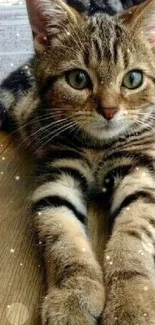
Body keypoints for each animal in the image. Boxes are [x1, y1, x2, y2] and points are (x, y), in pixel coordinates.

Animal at [0, 0, 155, 322]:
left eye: (133, 79)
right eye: (78, 79)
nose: (109, 110)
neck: (98, 145)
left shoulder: (139, 174)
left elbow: (132, 238)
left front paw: (132, 300)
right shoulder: (57, 177)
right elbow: (61, 237)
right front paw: (73, 294)